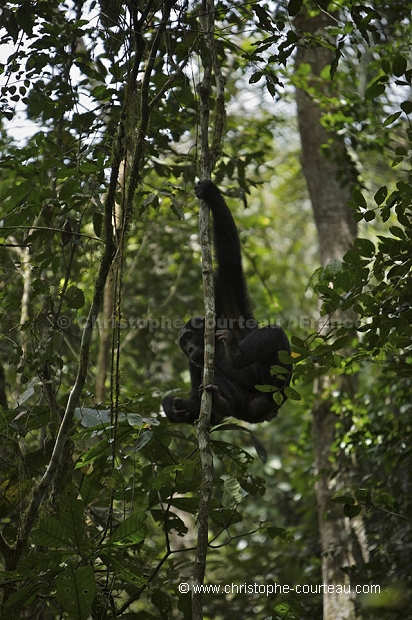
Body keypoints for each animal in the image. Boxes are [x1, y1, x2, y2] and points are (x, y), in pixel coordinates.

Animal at [163, 179, 292, 422]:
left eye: (188, 337)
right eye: (183, 344)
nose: (190, 347)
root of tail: (269, 412)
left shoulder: (232, 309)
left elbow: (229, 259)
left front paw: (211, 193)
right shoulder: (192, 364)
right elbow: (196, 401)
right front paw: (169, 406)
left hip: (277, 389)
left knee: (274, 334)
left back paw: (236, 355)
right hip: (246, 408)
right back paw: (222, 403)